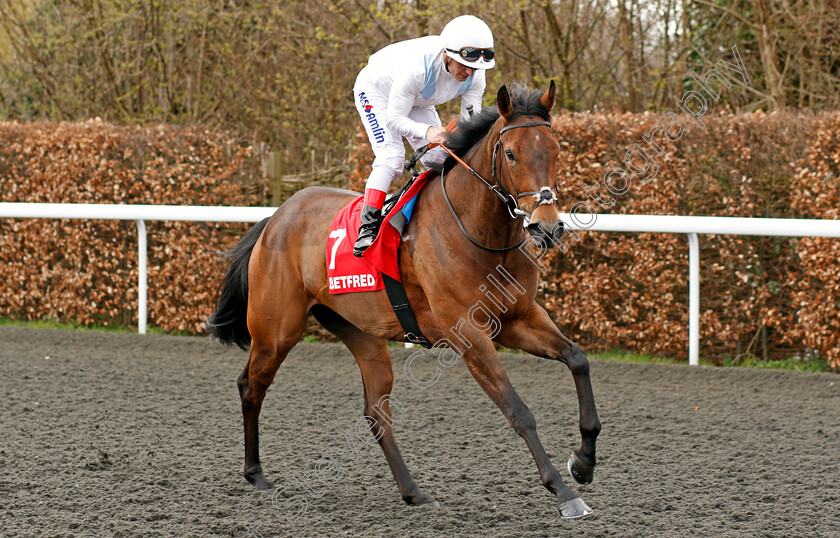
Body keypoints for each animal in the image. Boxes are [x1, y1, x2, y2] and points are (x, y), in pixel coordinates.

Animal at [207, 81, 600, 516]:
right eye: (511, 153)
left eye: (556, 151)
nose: (547, 228)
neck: (477, 231)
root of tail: (274, 219)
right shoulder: (469, 335)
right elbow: (519, 411)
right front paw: (564, 492)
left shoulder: (519, 318)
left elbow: (578, 359)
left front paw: (583, 462)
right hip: (276, 331)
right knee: (250, 386)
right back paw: (255, 473)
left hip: (363, 334)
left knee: (376, 413)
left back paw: (413, 491)